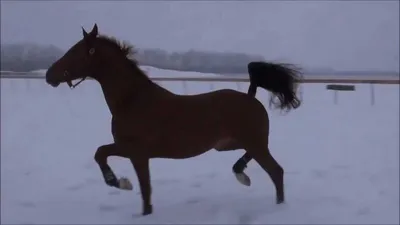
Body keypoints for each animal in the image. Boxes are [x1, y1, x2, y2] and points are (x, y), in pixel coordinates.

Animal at [45, 23, 302, 216]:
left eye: (75, 52)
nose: (49, 75)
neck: (132, 100)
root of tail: (250, 96)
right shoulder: (131, 150)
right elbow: (102, 154)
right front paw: (122, 184)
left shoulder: (135, 152)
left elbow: (141, 186)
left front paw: (122, 184)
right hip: (231, 144)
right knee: (257, 162)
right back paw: (240, 172)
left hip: (254, 144)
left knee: (276, 172)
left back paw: (277, 205)